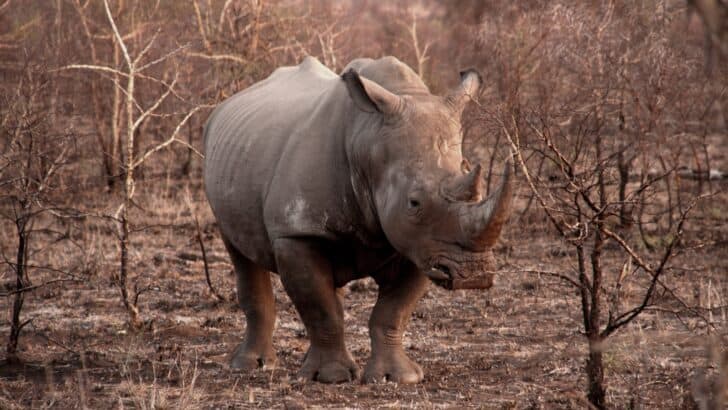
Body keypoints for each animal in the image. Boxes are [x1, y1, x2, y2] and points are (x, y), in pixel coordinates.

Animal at [203, 56, 513, 384]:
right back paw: (250, 365)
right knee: (240, 253)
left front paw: (398, 377)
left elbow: (393, 311)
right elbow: (321, 309)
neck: (368, 141)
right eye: (414, 203)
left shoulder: (422, 245)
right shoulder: (296, 232)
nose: (475, 275)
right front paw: (332, 377)